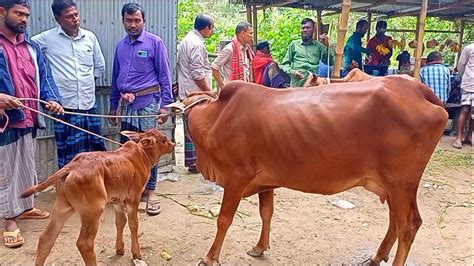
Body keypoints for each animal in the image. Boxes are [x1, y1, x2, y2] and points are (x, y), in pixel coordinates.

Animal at [20, 128, 174, 264]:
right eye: (163, 139)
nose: (173, 144)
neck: (142, 156)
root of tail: (72, 166)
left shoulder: (118, 201)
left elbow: (120, 222)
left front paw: (120, 249)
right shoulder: (133, 199)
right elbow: (133, 224)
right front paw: (136, 253)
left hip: (62, 207)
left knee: (46, 239)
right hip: (94, 210)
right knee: (84, 243)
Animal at [170, 75, 448, 266]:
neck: (216, 117)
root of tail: (419, 89)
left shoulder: (237, 178)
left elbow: (223, 220)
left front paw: (210, 257)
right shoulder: (266, 181)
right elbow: (266, 213)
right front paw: (260, 247)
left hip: (401, 183)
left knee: (409, 225)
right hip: (392, 186)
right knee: (395, 221)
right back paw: (377, 256)